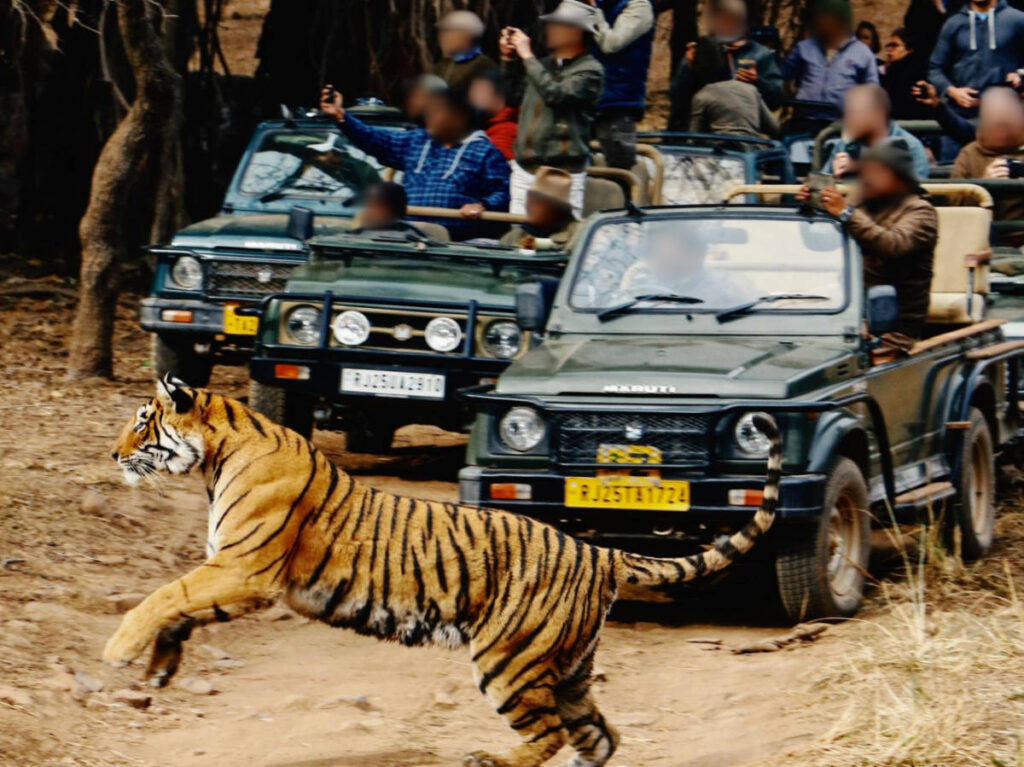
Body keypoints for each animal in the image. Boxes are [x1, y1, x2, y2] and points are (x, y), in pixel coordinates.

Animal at [105, 374, 782, 767]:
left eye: (143, 421)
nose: (112, 454)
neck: (216, 456)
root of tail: (597, 552)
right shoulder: (234, 574)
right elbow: (179, 607)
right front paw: (159, 668)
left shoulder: (245, 568)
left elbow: (164, 595)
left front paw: (118, 650)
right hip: (569, 671)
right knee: (598, 737)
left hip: (509, 660)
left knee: (549, 736)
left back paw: (488, 760)